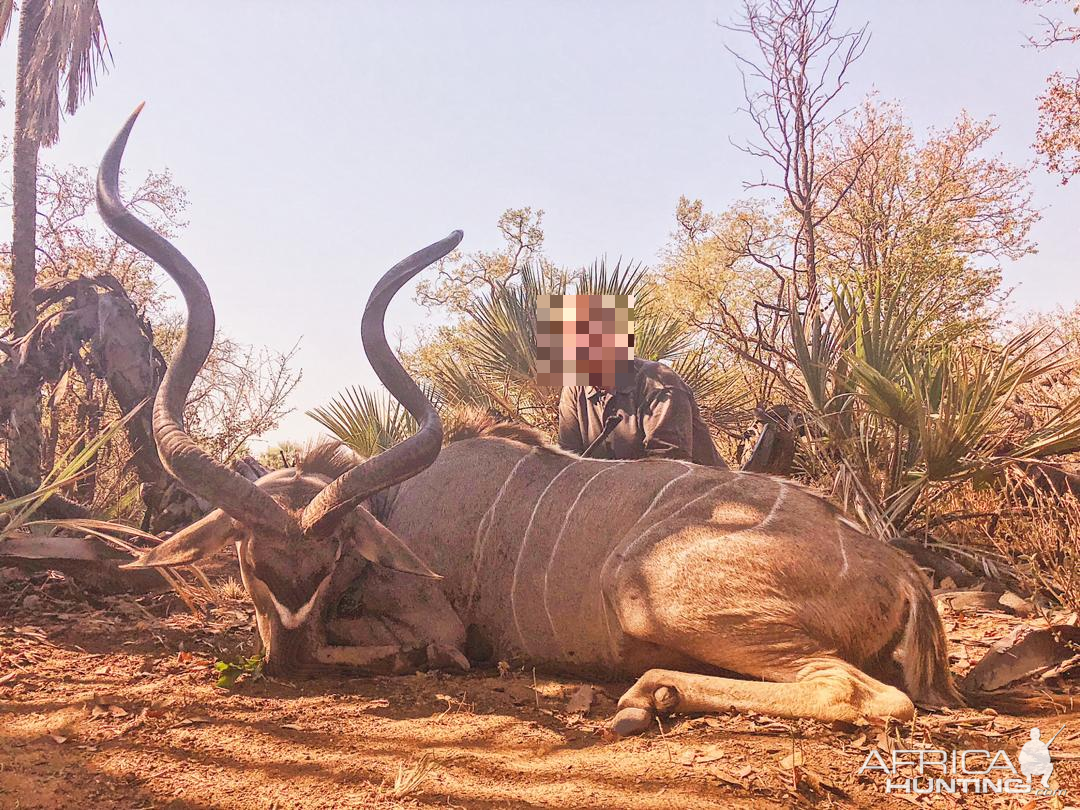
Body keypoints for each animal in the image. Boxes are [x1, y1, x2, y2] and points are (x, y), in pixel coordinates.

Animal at [101, 106, 963, 734]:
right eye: (247, 557)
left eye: (334, 555)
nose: (288, 658)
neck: (394, 504)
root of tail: (901, 574)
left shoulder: (433, 621)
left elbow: (424, 650)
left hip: (657, 596)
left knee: (862, 694)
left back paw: (647, 696)